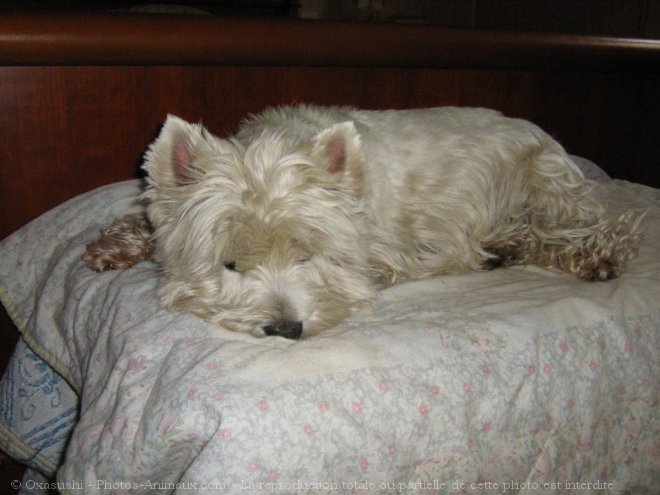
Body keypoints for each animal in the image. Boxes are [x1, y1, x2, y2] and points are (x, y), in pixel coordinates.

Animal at [84, 103, 644, 338]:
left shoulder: (384, 253)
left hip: (546, 187)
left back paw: (594, 256)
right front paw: (115, 246)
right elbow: (148, 225)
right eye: (231, 265)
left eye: (307, 257)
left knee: (593, 229)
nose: (285, 328)